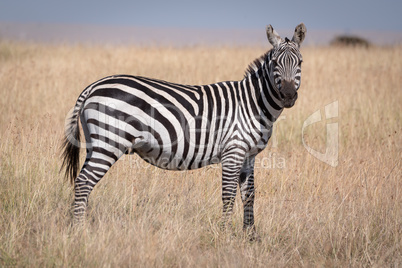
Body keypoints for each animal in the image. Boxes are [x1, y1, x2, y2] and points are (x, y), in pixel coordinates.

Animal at [62, 23, 308, 234]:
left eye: (300, 63)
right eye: (275, 63)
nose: (288, 96)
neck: (252, 103)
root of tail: (93, 86)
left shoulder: (249, 155)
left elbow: (249, 195)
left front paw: (251, 236)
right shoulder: (233, 150)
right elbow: (228, 195)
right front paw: (224, 235)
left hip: (96, 143)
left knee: (83, 181)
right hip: (108, 143)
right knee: (83, 182)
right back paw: (79, 231)